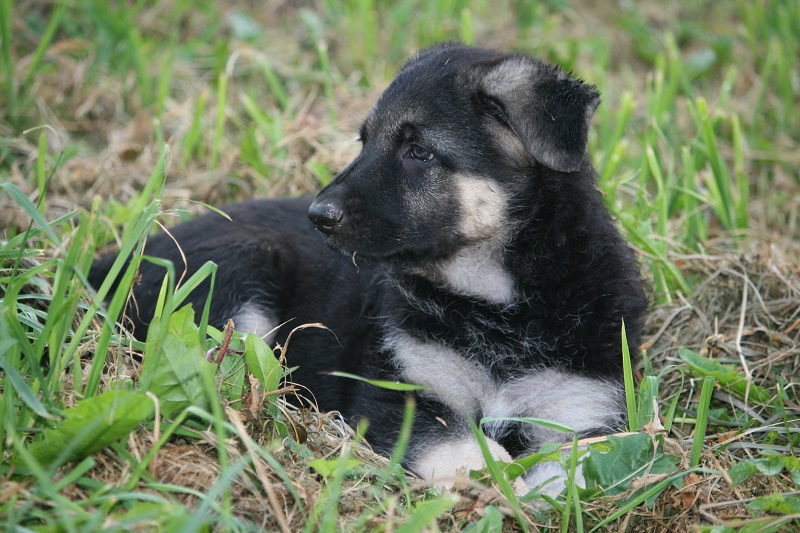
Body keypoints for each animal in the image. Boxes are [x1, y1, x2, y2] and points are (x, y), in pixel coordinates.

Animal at [89, 43, 648, 492]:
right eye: (365, 141)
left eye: (418, 151)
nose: (318, 216)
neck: (497, 304)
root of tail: (113, 260)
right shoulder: (401, 395)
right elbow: (467, 451)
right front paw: (495, 487)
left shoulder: (583, 417)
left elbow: (565, 475)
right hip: (240, 276)